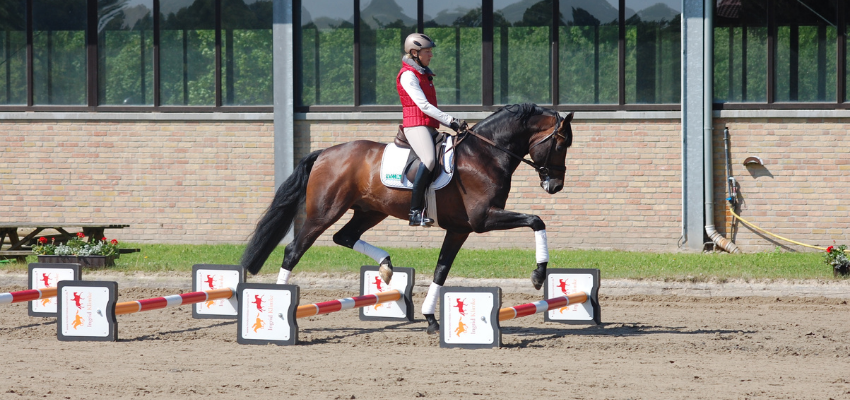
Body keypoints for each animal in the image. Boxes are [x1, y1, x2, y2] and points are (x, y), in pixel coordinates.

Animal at [242, 104, 572, 334]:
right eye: (560, 144)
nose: (555, 186)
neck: (485, 154)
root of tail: (325, 153)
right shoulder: (483, 220)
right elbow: (536, 220)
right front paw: (538, 275)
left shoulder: (460, 229)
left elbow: (441, 270)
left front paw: (431, 319)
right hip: (323, 212)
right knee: (293, 250)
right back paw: (282, 301)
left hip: (371, 211)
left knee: (344, 237)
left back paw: (386, 267)